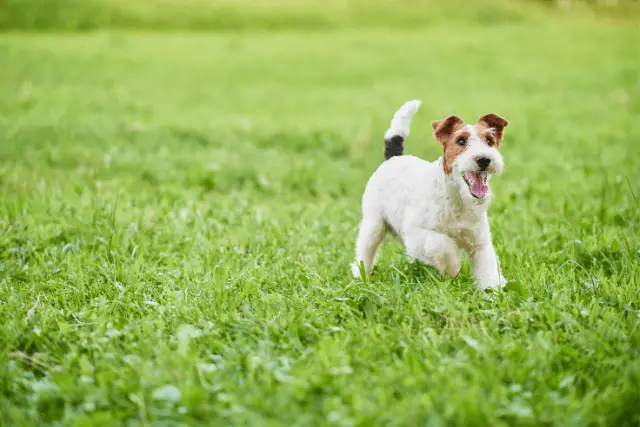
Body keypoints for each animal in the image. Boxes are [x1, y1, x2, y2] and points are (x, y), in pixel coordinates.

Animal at [350, 100, 510, 290]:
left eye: (489, 141)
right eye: (461, 141)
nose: (484, 159)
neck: (458, 199)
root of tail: (393, 158)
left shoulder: (480, 243)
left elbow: (488, 269)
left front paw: (493, 291)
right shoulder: (416, 232)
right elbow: (444, 246)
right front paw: (453, 269)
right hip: (373, 224)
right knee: (364, 253)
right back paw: (361, 277)